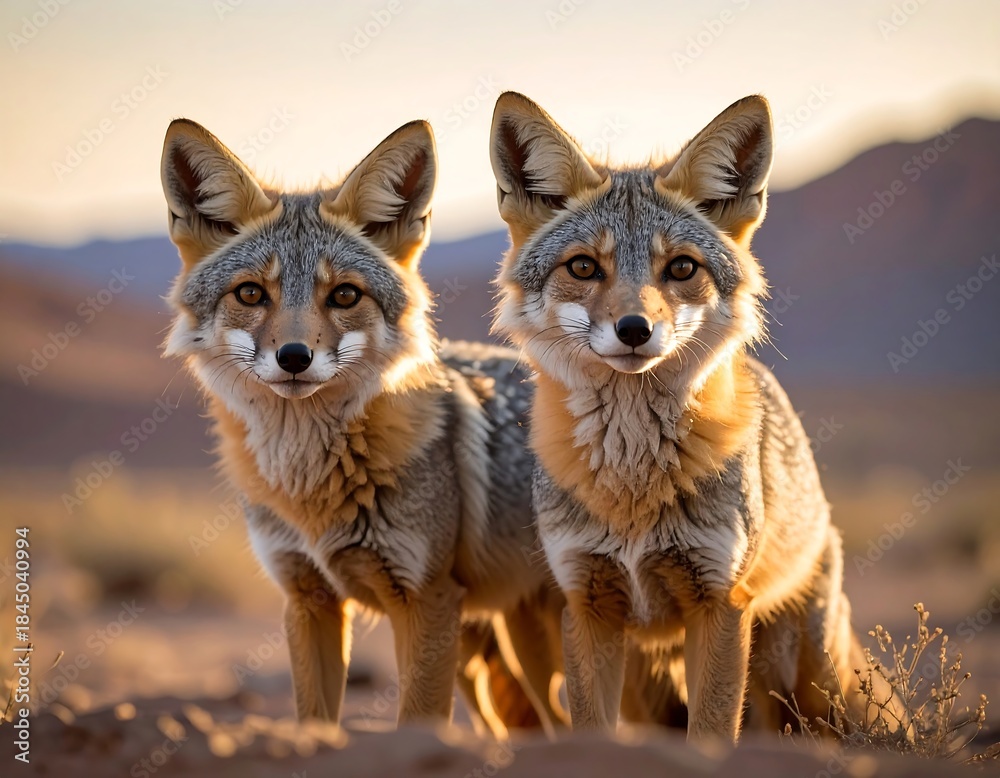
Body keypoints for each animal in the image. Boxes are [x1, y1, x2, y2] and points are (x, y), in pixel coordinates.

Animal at [158, 117, 566, 735]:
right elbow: (314, 719)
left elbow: (416, 722)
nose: (294, 357)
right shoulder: (308, 599)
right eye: (251, 293)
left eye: (345, 294)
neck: (311, 492)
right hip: (501, 651)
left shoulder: (426, 600)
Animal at [488, 92, 866, 743]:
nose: (634, 329)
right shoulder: (587, 603)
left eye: (682, 268)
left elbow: (710, 735)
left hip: (809, 680)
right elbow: (589, 730)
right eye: (583, 267)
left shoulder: (718, 602)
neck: (633, 485)